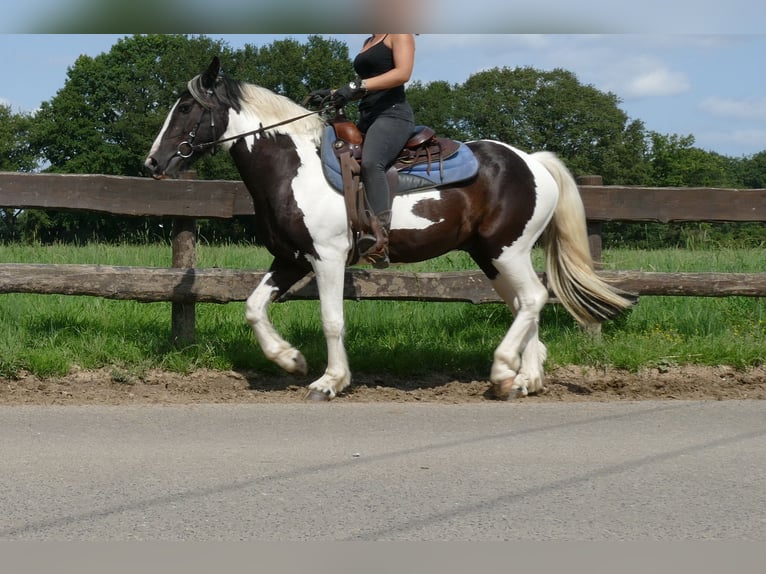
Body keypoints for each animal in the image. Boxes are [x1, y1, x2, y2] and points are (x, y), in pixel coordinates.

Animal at [144, 57, 636, 400]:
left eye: (185, 107)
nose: (152, 163)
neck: (294, 167)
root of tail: (532, 161)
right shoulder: (290, 258)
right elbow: (253, 307)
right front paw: (291, 360)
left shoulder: (327, 258)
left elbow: (332, 320)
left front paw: (329, 381)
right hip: (491, 257)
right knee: (525, 303)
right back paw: (526, 379)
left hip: (506, 250)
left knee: (532, 298)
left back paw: (503, 372)